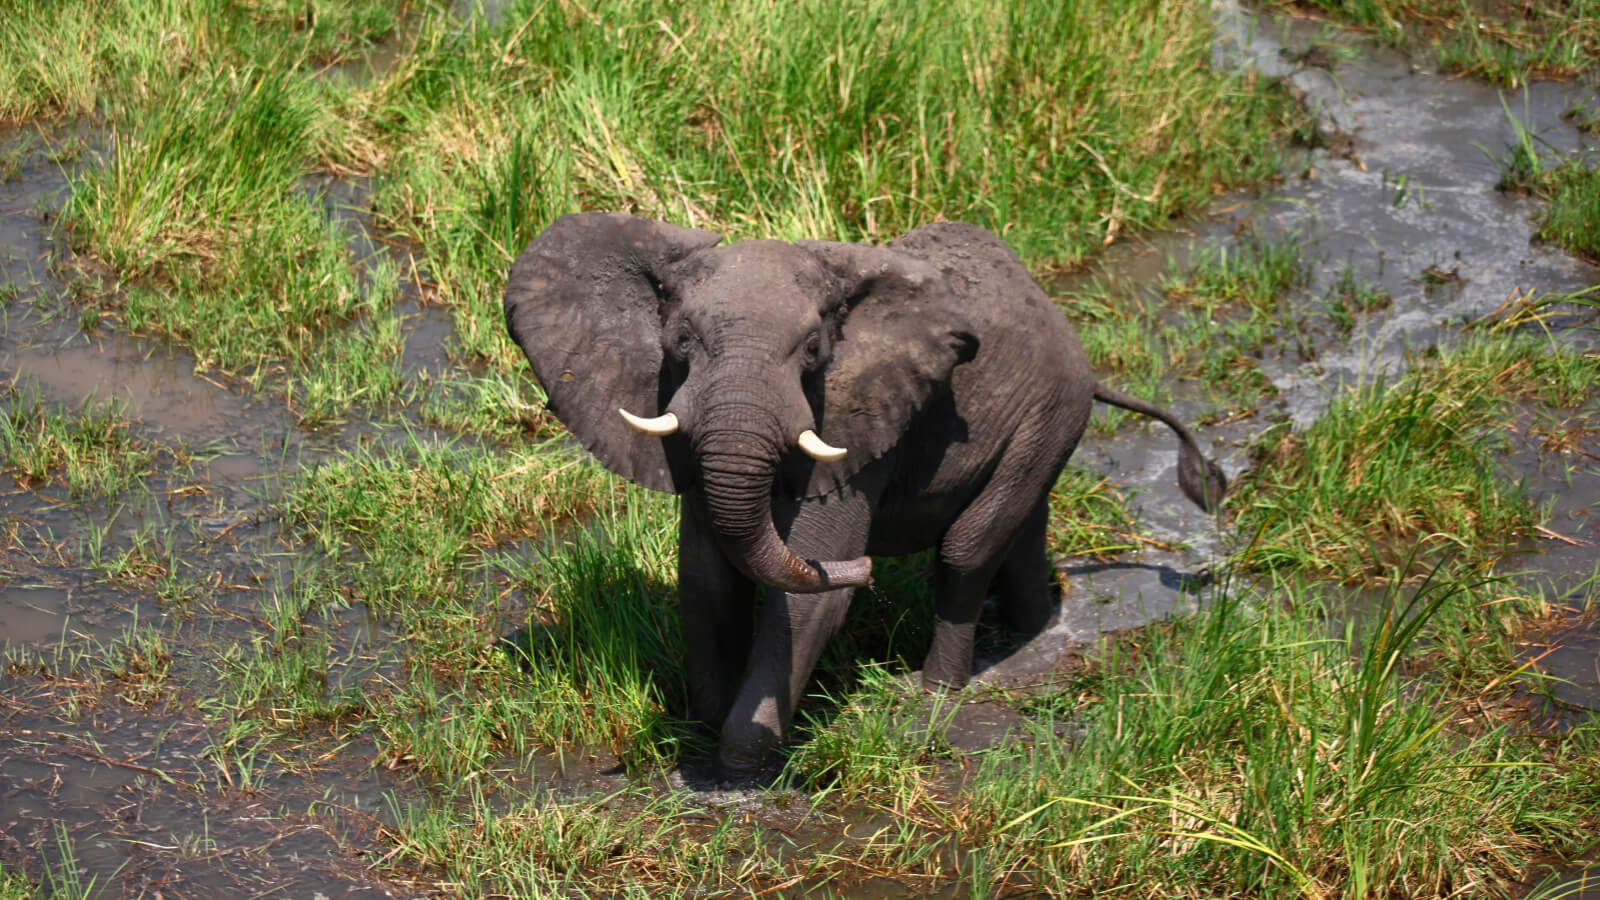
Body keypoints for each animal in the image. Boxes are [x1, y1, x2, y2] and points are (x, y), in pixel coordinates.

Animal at [503, 212, 1225, 778]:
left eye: (813, 349)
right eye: (681, 341)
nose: (869, 568)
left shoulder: (853, 429)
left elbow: (804, 598)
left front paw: (741, 766)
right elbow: (708, 577)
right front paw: (703, 730)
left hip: (1052, 409)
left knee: (967, 548)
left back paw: (933, 693)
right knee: (1018, 527)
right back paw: (1035, 630)